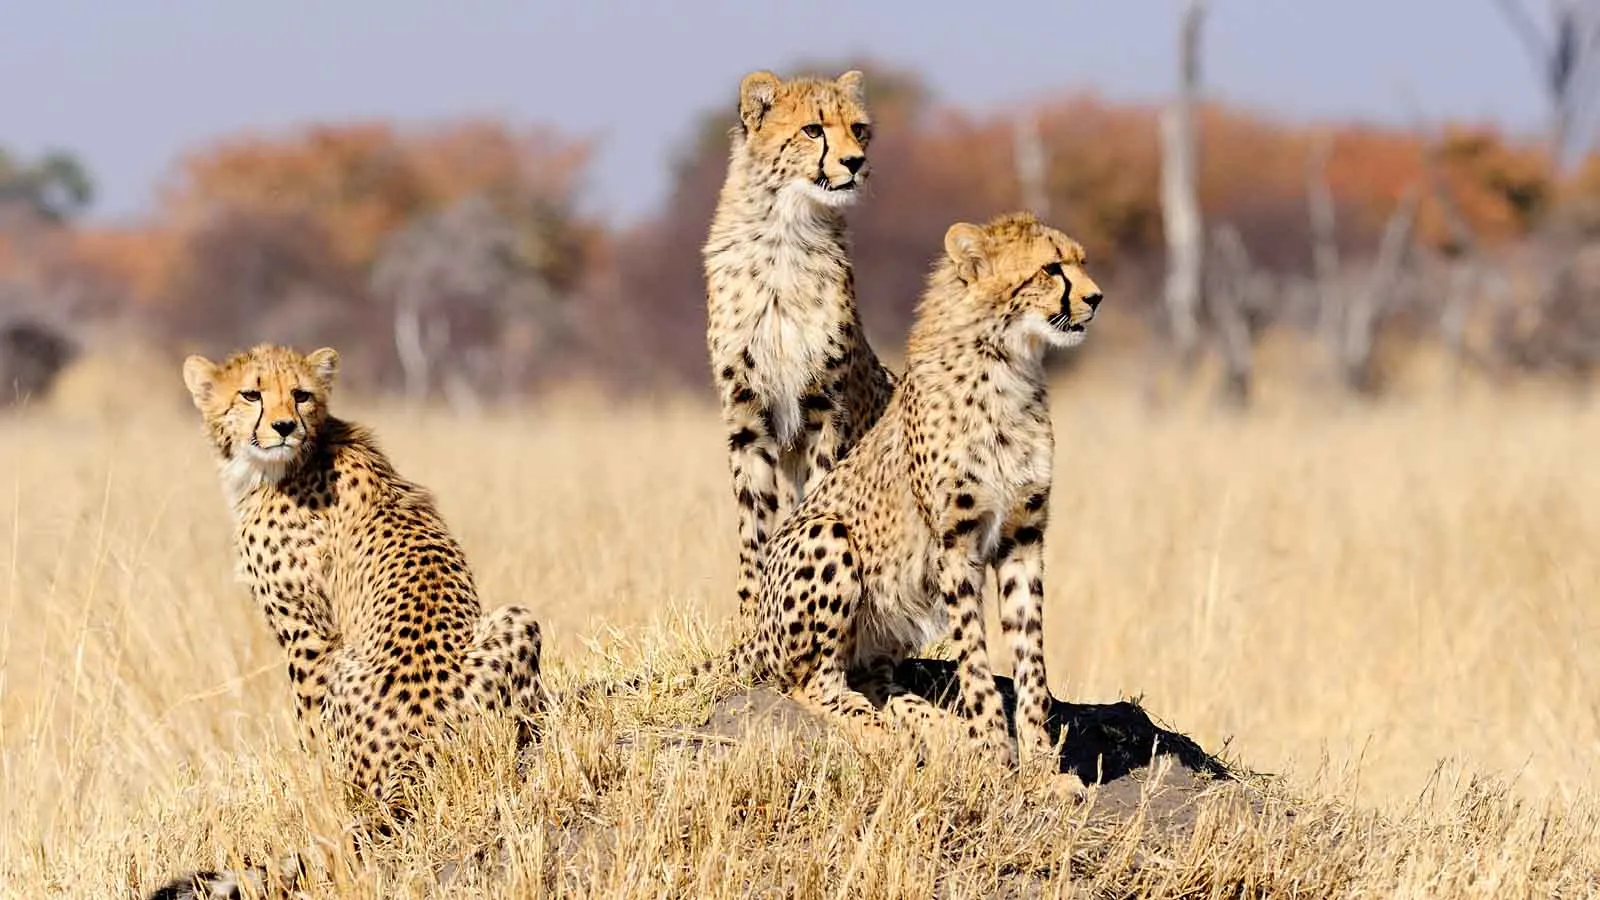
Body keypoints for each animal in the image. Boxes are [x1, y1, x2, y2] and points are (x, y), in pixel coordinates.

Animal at [148, 343, 544, 900]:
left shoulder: (309, 634)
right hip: (517, 618)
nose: (285, 426)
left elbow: (309, 731)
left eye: (300, 394)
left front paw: (316, 787)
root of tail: (416, 752)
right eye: (251, 394)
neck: (290, 460)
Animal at [734, 211, 1104, 781]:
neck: (1006, 363)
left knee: (872, 679)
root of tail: (752, 632)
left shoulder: (1023, 538)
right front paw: (995, 754)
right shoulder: (955, 543)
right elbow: (975, 658)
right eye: (1051, 268)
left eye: (1081, 262)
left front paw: (1044, 769)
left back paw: (933, 724)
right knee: (811, 682)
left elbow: (1030, 659)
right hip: (828, 536)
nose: (1096, 297)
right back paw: (881, 730)